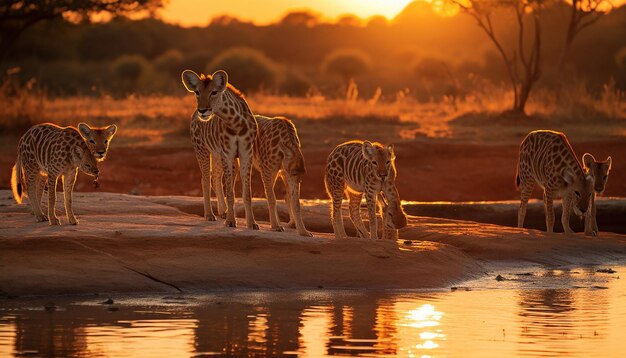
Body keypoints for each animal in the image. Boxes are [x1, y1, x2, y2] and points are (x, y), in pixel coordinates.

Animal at [180, 68, 258, 228]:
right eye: (197, 92)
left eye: (214, 92)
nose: (202, 111)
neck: (235, 122)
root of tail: (193, 117)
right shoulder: (227, 153)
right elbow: (230, 192)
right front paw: (230, 221)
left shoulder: (245, 153)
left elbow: (246, 193)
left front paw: (252, 223)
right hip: (202, 151)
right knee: (205, 179)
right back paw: (210, 214)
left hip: (216, 154)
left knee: (215, 177)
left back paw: (222, 211)